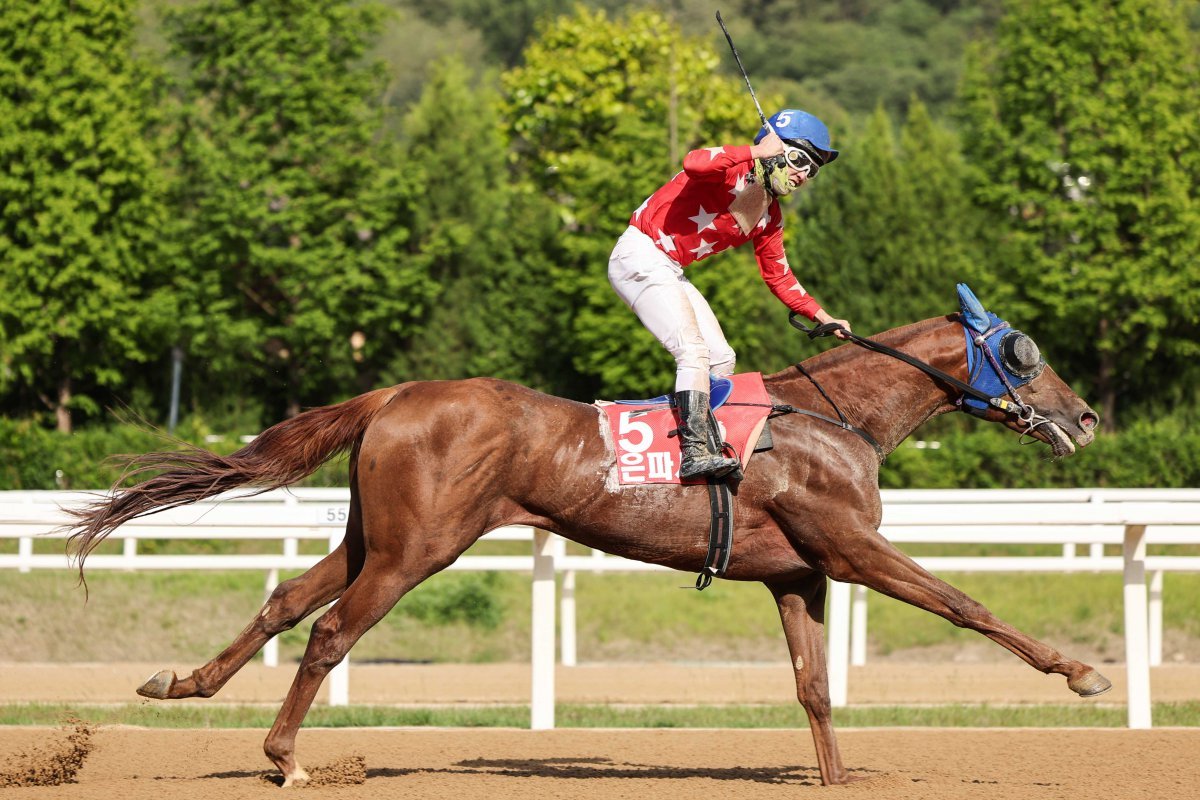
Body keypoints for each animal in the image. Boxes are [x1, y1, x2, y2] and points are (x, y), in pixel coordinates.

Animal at [70, 309, 1108, 786]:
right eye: (1027, 355)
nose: (1087, 417)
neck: (832, 418)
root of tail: (394, 394)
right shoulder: (851, 549)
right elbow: (966, 604)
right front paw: (1082, 671)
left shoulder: (797, 574)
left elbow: (814, 686)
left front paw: (838, 778)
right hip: (418, 549)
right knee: (330, 634)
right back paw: (283, 756)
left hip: (377, 536)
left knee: (290, 598)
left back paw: (183, 683)